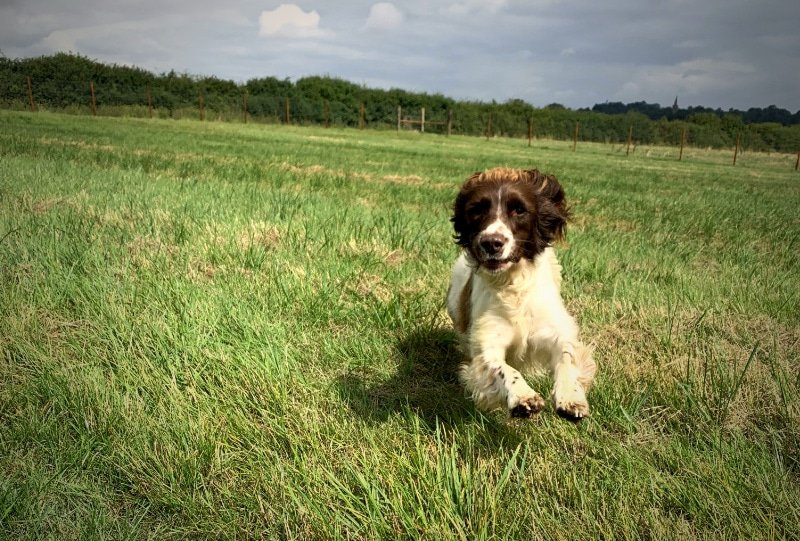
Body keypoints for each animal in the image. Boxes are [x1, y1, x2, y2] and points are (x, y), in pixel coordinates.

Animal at [446, 167, 596, 420]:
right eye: (476, 210)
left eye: (519, 210)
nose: (491, 243)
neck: (512, 285)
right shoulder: (487, 341)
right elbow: (503, 368)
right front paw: (523, 396)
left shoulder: (555, 330)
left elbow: (567, 355)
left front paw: (570, 397)